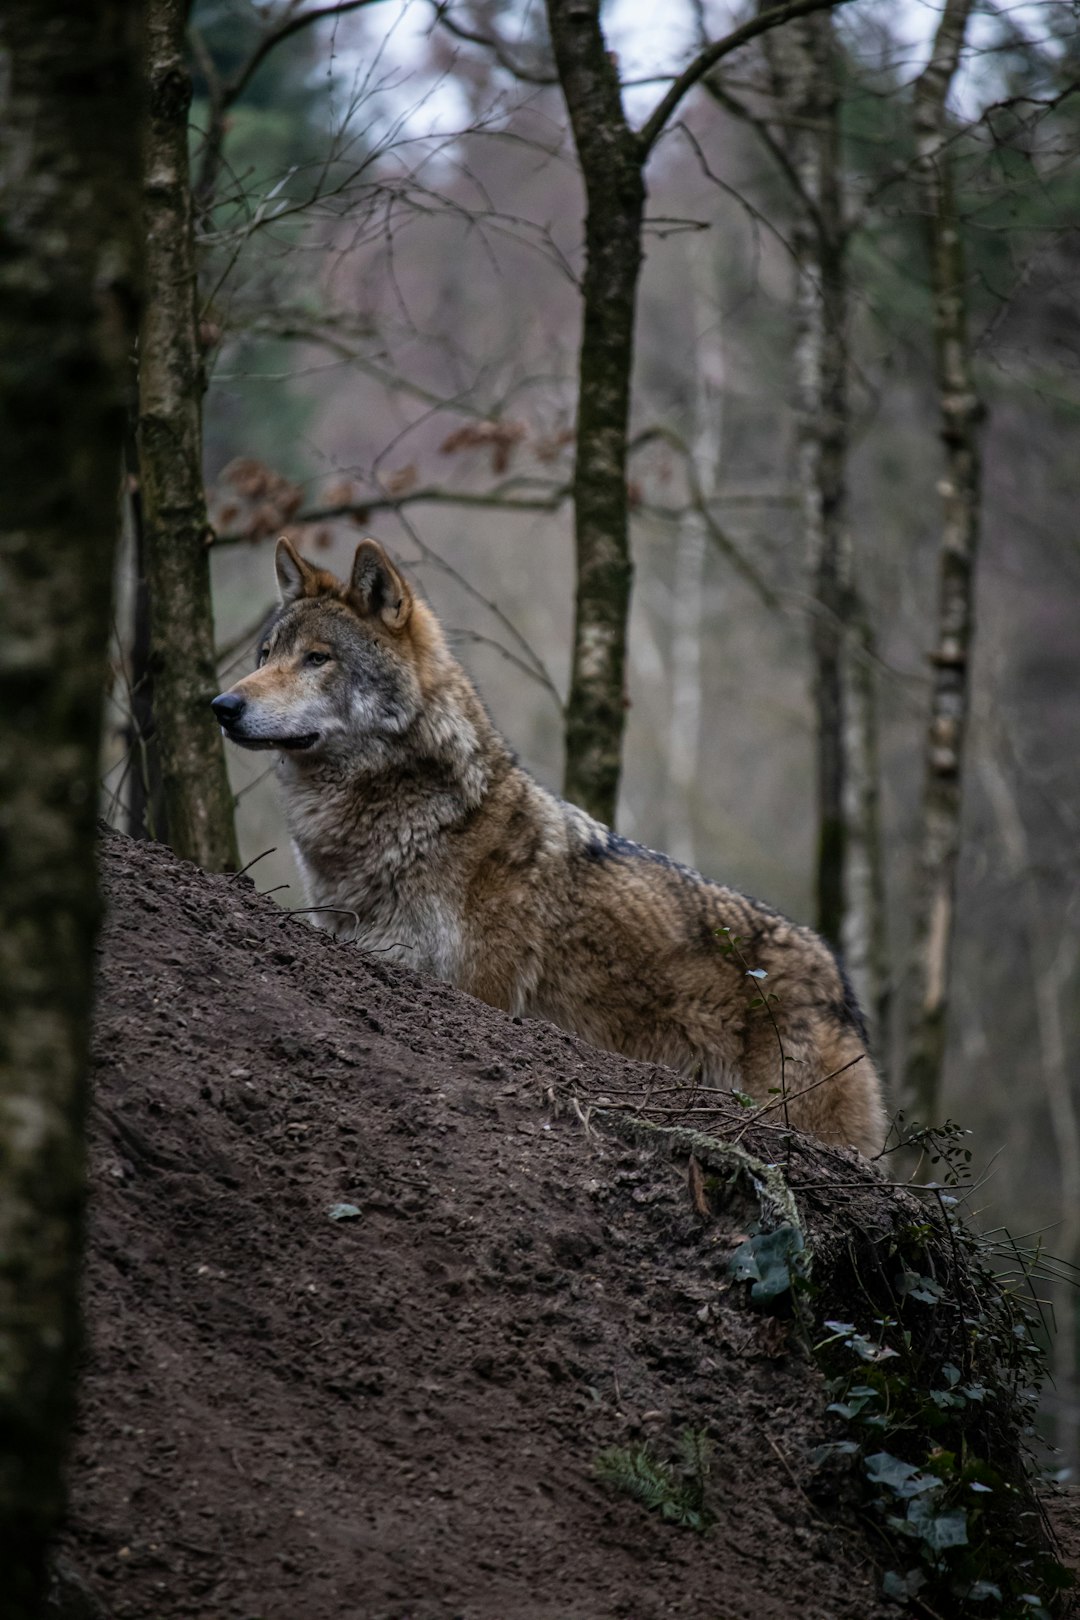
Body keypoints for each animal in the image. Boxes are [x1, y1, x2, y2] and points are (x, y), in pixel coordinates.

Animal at [212, 537, 887, 1155]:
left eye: (317, 658)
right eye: (267, 654)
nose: (221, 705)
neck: (415, 820)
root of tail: (840, 982)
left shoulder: (480, 991)